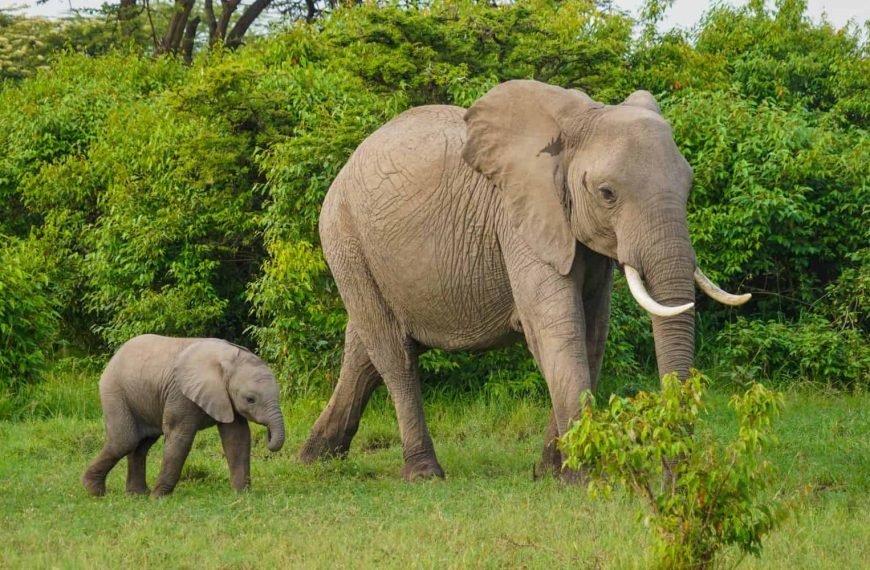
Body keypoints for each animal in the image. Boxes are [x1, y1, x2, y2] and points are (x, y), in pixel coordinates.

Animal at [82, 330, 286, 494]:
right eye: (250, 399)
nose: (268, 435)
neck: (226, 360)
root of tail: (115, 355)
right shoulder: (180, 394)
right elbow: (180, 438)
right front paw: (159, 497)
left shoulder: (225, 397)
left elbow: (237, 438)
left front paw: (242, 495)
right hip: (114, 390)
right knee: (125, 441)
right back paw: (94, 491)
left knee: (141, 444)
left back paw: (137, 494)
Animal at [300, 80, 748, 478]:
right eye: (607, 193)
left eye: (689, 187)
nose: (675, 474)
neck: (580, 121)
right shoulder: (519, 222)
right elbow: (557, 332)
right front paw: (581, 475)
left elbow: (592, 335)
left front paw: (553, 471)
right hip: (345, 238)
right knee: (394, 354)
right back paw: (423, 473)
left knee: (364, 350)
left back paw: (315, 459)